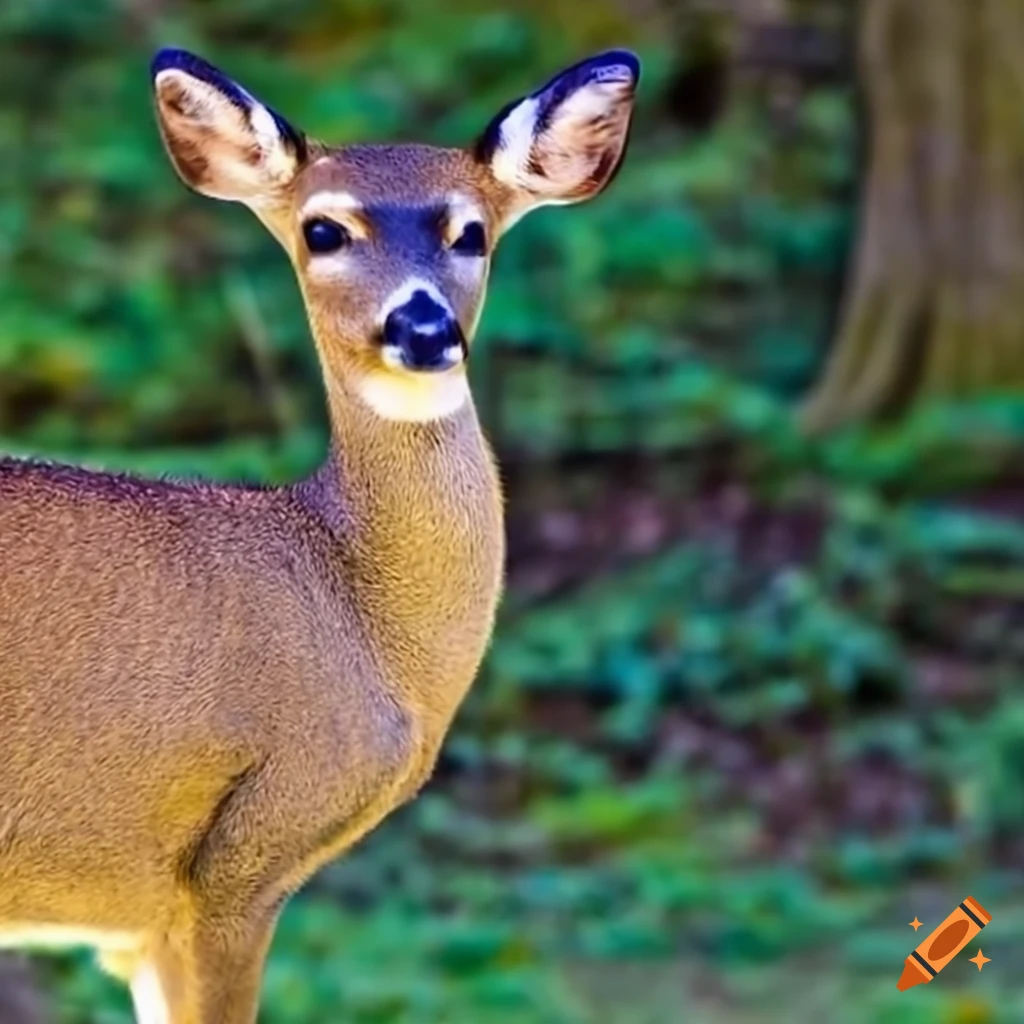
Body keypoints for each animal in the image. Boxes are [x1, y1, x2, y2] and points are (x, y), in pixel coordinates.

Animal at [0, 45, 640, 1024]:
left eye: (471, 233)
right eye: (324, 230)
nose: (424, 326)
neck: (359, 613)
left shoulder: (143, 920)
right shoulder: (231, 869)